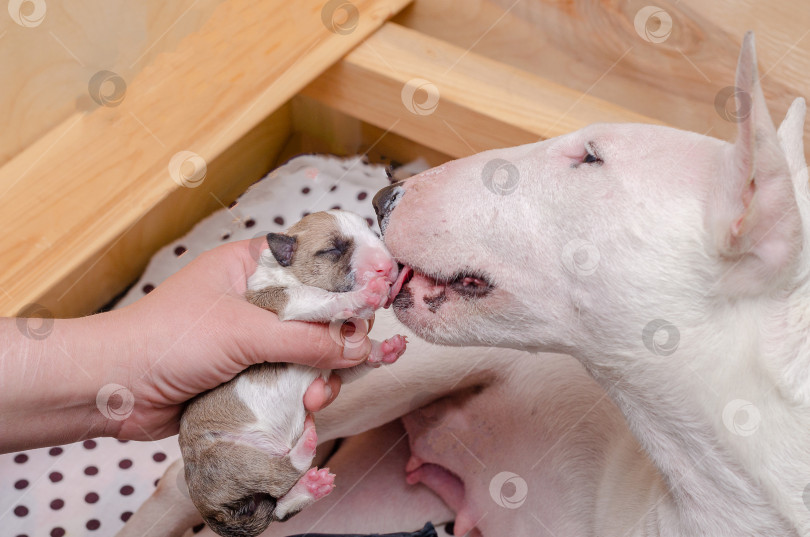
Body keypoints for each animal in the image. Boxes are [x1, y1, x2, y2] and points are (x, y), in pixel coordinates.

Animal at [179, 210, 408, 536]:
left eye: (375, 234)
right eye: (333, 249)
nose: (387, 268)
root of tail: (211, 514)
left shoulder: (333, 367)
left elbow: (356, 362)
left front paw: (386, 349)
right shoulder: (283, 298)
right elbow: (315, 296)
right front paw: (368, 293)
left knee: (278, 508)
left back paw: (311, 487)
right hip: (230, 457)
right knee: (279, 474)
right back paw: (306, 446)